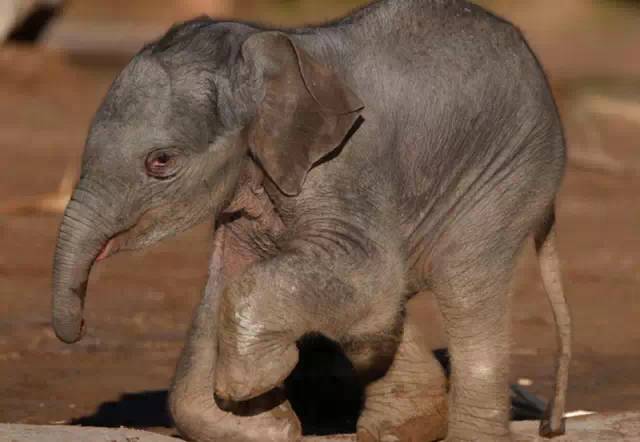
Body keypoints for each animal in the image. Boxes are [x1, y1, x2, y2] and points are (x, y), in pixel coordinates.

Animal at [51, 0, 568, 442]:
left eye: (160, 162)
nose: (79, 327)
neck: (271, 54)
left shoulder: (345, 167)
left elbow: (367, 272)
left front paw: (262, 380)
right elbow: (229, 283)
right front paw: (270, 424)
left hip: (507, 175)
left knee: (465, 289)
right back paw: (401, 426)